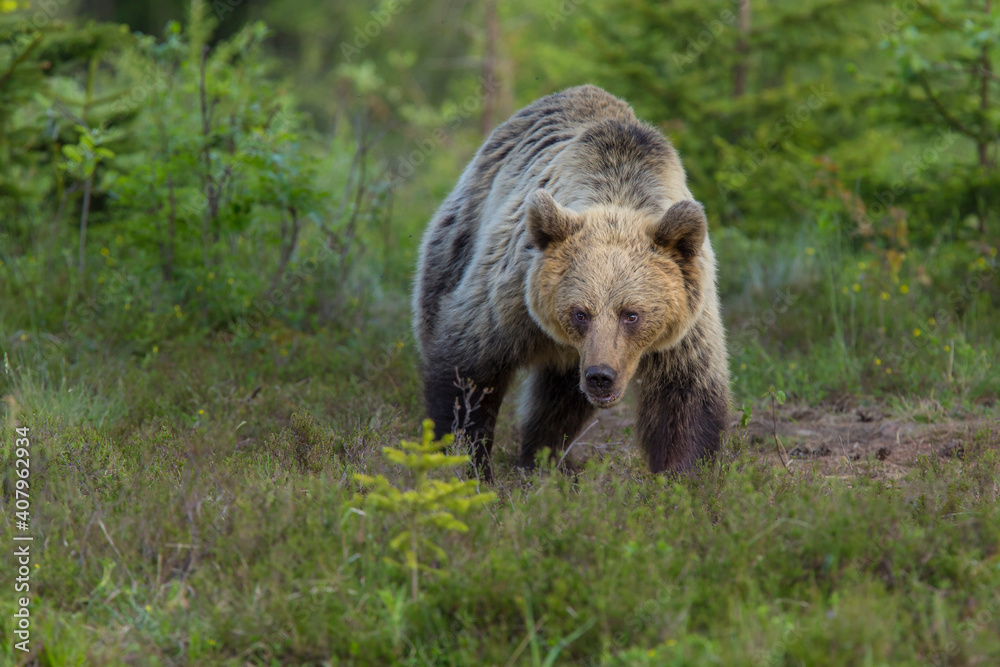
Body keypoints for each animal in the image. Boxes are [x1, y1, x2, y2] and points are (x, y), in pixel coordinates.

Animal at [410, 85, 732, 480]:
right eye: (580, 312)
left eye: (632, 314)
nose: (600, 376)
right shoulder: (513, 294)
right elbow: (468, 368)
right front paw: (464, 460)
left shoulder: (685, 323)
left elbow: (686, 396)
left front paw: (680, 476)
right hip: (459, 237)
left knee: (557, 400)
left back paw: (542, 458)